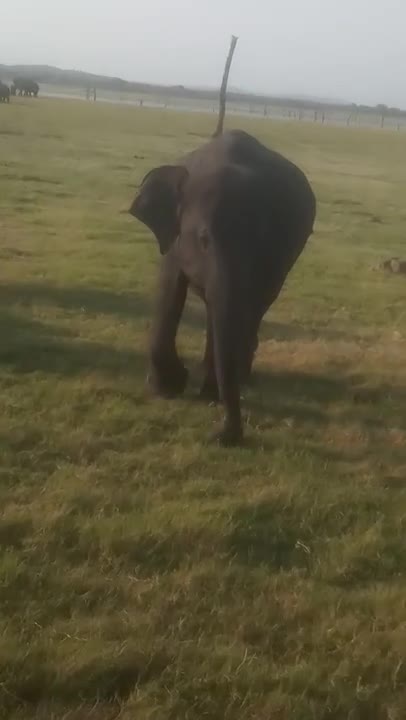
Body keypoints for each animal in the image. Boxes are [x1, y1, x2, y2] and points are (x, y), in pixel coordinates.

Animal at [129, 129, 316, 446]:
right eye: (204, 239)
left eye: (262, 241)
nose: (222, 434)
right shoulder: (174, 236)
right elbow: (170, 287)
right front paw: (166, 389)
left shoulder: (273, 256)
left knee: (252, 308)